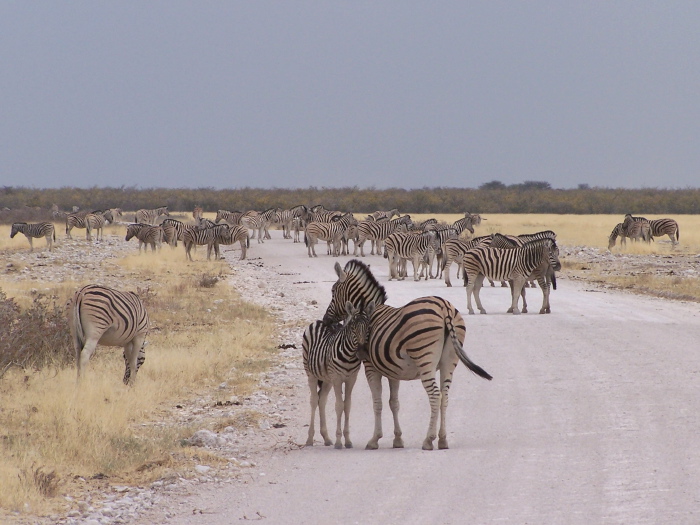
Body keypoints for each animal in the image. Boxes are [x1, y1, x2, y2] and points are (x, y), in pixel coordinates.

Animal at [302, 298, 374, 446]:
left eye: (368, 326)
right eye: (352, 326)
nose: (361, 353)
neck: (350, 357)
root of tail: (319, 321)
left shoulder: (351, 378)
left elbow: (347, 405)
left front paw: (347, 440)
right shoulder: (337, 378)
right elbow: (339, 406)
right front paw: (339, 441)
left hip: (327, 379)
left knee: (322, 400)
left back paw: (326, 438)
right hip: (311, 373)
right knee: (314, 400)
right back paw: (310, 439)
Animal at [322, 260, 492, 448]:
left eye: (333, 291)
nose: (325, 320)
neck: (370, 311)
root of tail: (445, 308)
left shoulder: (370, 367)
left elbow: (377, 402)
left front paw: (374, 440)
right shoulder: (393, 370)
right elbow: (394, 403)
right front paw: (397, 439)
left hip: (425, 359)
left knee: (435, 395)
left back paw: (428, 440)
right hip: (449, 361)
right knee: (445, 397)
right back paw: (442, 440)